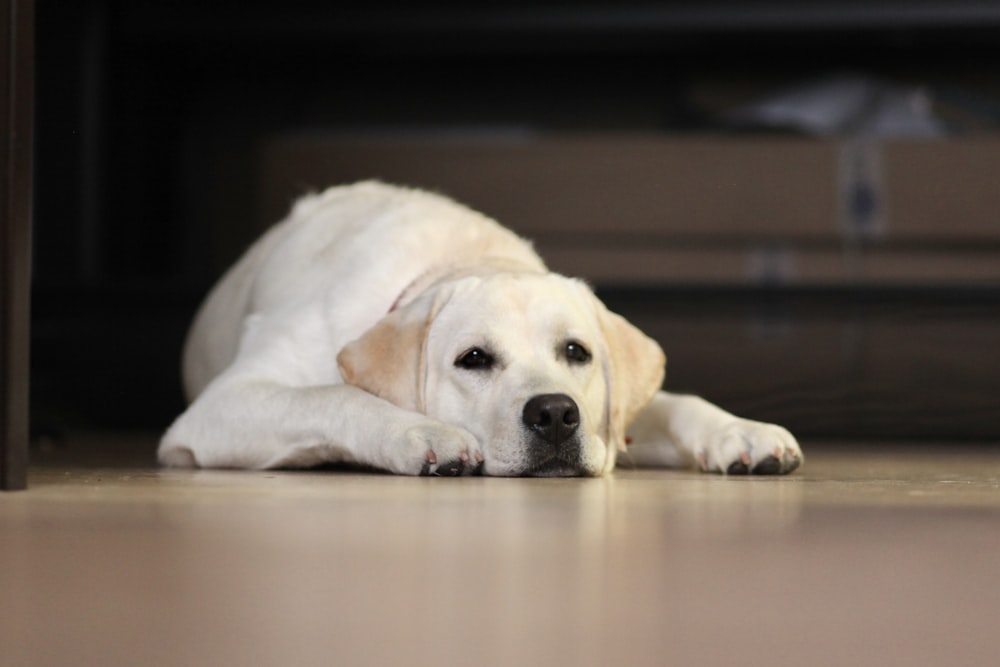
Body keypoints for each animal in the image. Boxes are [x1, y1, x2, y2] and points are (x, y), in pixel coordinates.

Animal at [160, 180, 800, 478]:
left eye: (577, 352)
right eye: (472, 359)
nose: (556, 414)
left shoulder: (612, 422)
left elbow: (675, 402)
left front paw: (740, 432)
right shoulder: (225, 404)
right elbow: (333, 396)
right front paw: (420, 433)